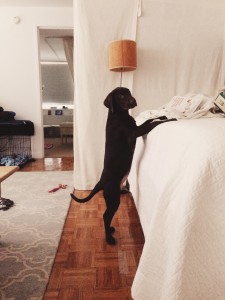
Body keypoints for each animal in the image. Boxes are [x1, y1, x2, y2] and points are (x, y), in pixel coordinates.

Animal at [70, 86, 176, 244]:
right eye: (121, 96)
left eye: (129, 93)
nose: (133, 101)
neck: (119, 115)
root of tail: (101, 181)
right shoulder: (135, 132)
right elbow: (152, 124)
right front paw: (171, 119)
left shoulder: (137, 127)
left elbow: (150, 119)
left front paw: (163, 116)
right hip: (114, 199)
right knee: (105, 216)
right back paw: (109, 238)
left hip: (111, 198)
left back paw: (111, 229)